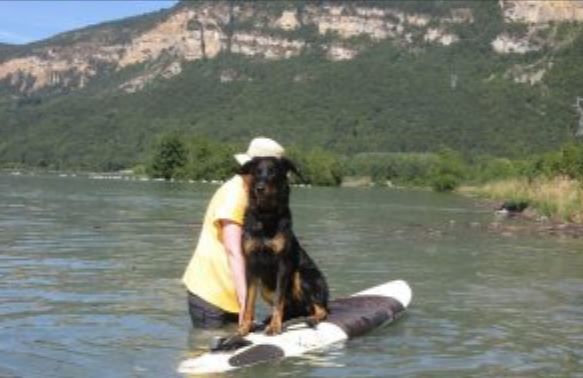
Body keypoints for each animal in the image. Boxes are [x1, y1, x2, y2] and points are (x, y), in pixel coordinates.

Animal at [237, 157, 328, 336]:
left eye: (273, 172)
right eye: (256, 171)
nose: (259, 188)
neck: (265, 216)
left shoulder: (282, 264)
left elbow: (279, 299)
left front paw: (274, 326)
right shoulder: (251, 265)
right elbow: (249, 301)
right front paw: (245, 326)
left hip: (303, 275)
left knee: (321, 309)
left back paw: (311, 318)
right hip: (265, 288)